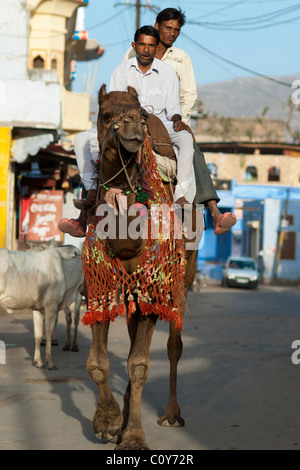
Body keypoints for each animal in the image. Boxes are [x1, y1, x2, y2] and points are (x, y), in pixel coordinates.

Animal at [81, 85, 202, 452]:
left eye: (142, 114)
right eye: (106, 114)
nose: (134, 123)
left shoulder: (153, 285)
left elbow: (139, 365)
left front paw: (133, 436)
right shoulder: (100, 283)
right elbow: (98, 363)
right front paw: (108, 422)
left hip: (182, 278)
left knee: (173, 344)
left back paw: (171, 414)